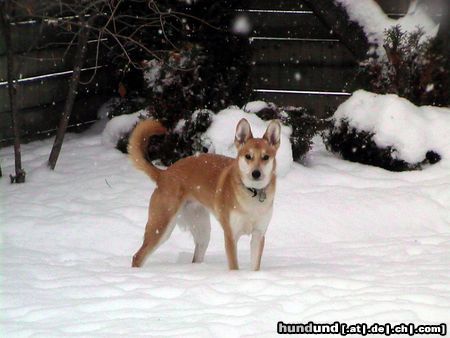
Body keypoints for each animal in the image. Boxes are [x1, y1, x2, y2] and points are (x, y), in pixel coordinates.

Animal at [128, 117, 280, 270]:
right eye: (248, 156)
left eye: (265, 157)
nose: (256, 173)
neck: (252, 193)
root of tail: (163, 174)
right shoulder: (231, 235)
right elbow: (234, 266)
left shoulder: (258, 235)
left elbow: (255, 266)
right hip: (161, 226)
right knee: (137, 257)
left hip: (202, 231)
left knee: (196, 257)